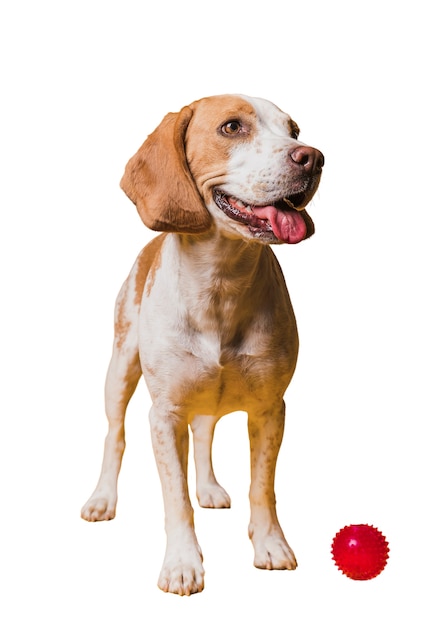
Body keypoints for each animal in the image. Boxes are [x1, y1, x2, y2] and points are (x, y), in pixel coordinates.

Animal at [81, 95, 326, 592]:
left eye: (294, 130)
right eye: (232, 127)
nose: (312, 157)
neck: (221, 282)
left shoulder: (270, 409)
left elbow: (262, 487)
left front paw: (270, 544)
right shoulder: (164, 415)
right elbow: (175, 498)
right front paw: (182, 563)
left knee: (204, 434)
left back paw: (209, 487)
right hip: (119, 370)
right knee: (115, 436)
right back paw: (102, 498)